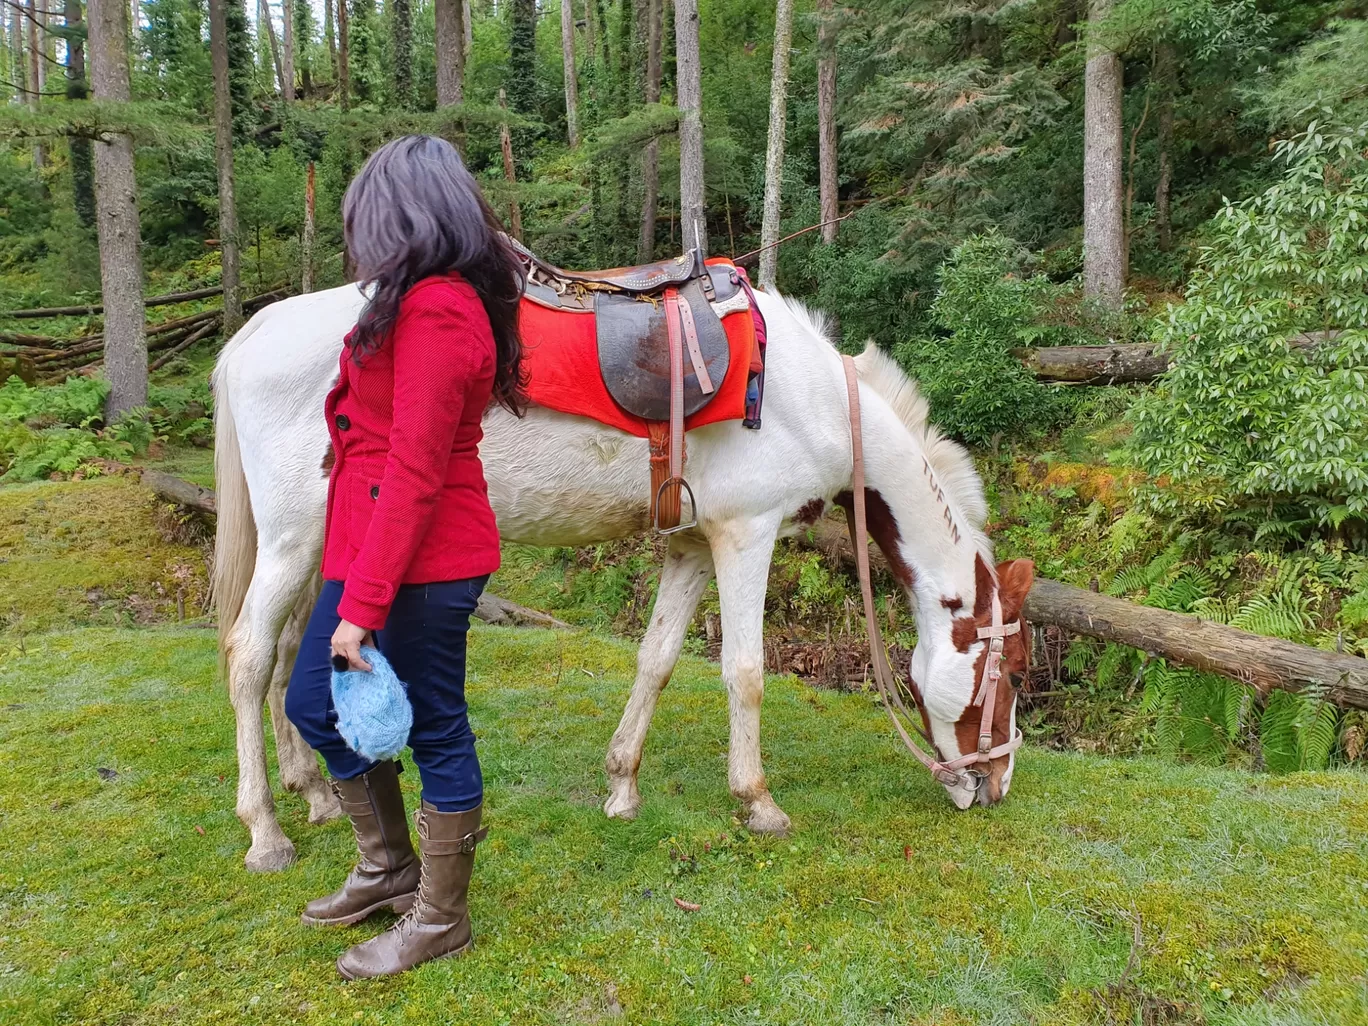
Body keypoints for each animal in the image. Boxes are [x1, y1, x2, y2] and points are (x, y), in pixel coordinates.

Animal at [210, 283, 1028, 875]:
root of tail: (253, 334)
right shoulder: (746, 534)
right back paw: (264, 832)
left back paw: (315, 794)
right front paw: (757, 802)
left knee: (291, 657)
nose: (995, 787)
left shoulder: (692, 545)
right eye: (1015, 672)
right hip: (292, 541)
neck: (816, 400)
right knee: (250, 657)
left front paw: (622, 784)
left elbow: (657, 660)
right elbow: (745, 672)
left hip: (329, 549)